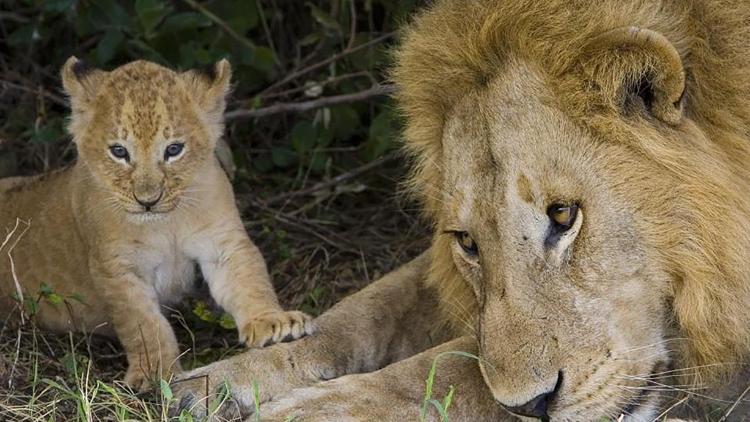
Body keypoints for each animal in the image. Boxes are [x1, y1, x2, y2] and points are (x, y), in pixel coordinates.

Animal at [175, 0, 750, 420]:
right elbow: (363, 310)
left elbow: (451, 366)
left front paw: (315, 409)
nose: (532, 407)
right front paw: (215, 382)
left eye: (564, 215)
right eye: (468, 242)